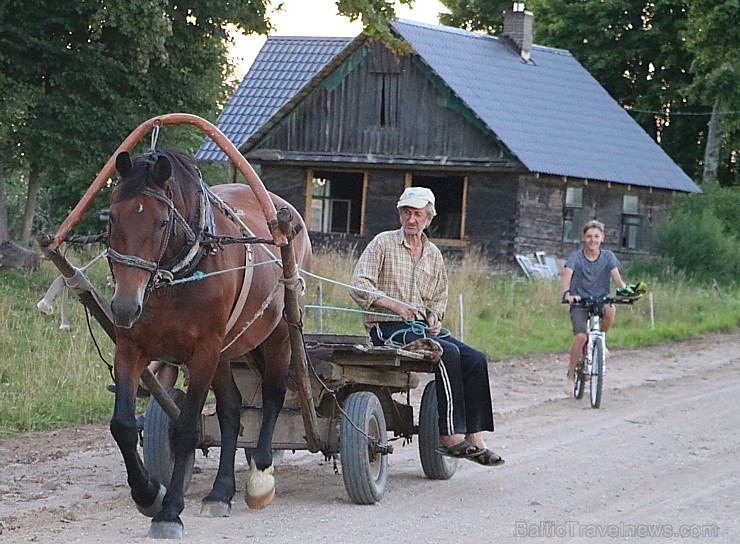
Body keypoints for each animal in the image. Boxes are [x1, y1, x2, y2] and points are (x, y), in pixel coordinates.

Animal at [106, 149, 310, 540]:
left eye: (161, 223)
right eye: (111, 216)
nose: (124, 306)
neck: (178, 275)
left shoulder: (203, 352)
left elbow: (186, 430)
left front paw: (169, 512)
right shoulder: (130, 348)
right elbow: (122, 425)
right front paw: (148, 493)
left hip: (275, 335)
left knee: (273, 395)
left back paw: (260, 476)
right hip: (228, 352)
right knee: (232, 410)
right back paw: (220, 492)